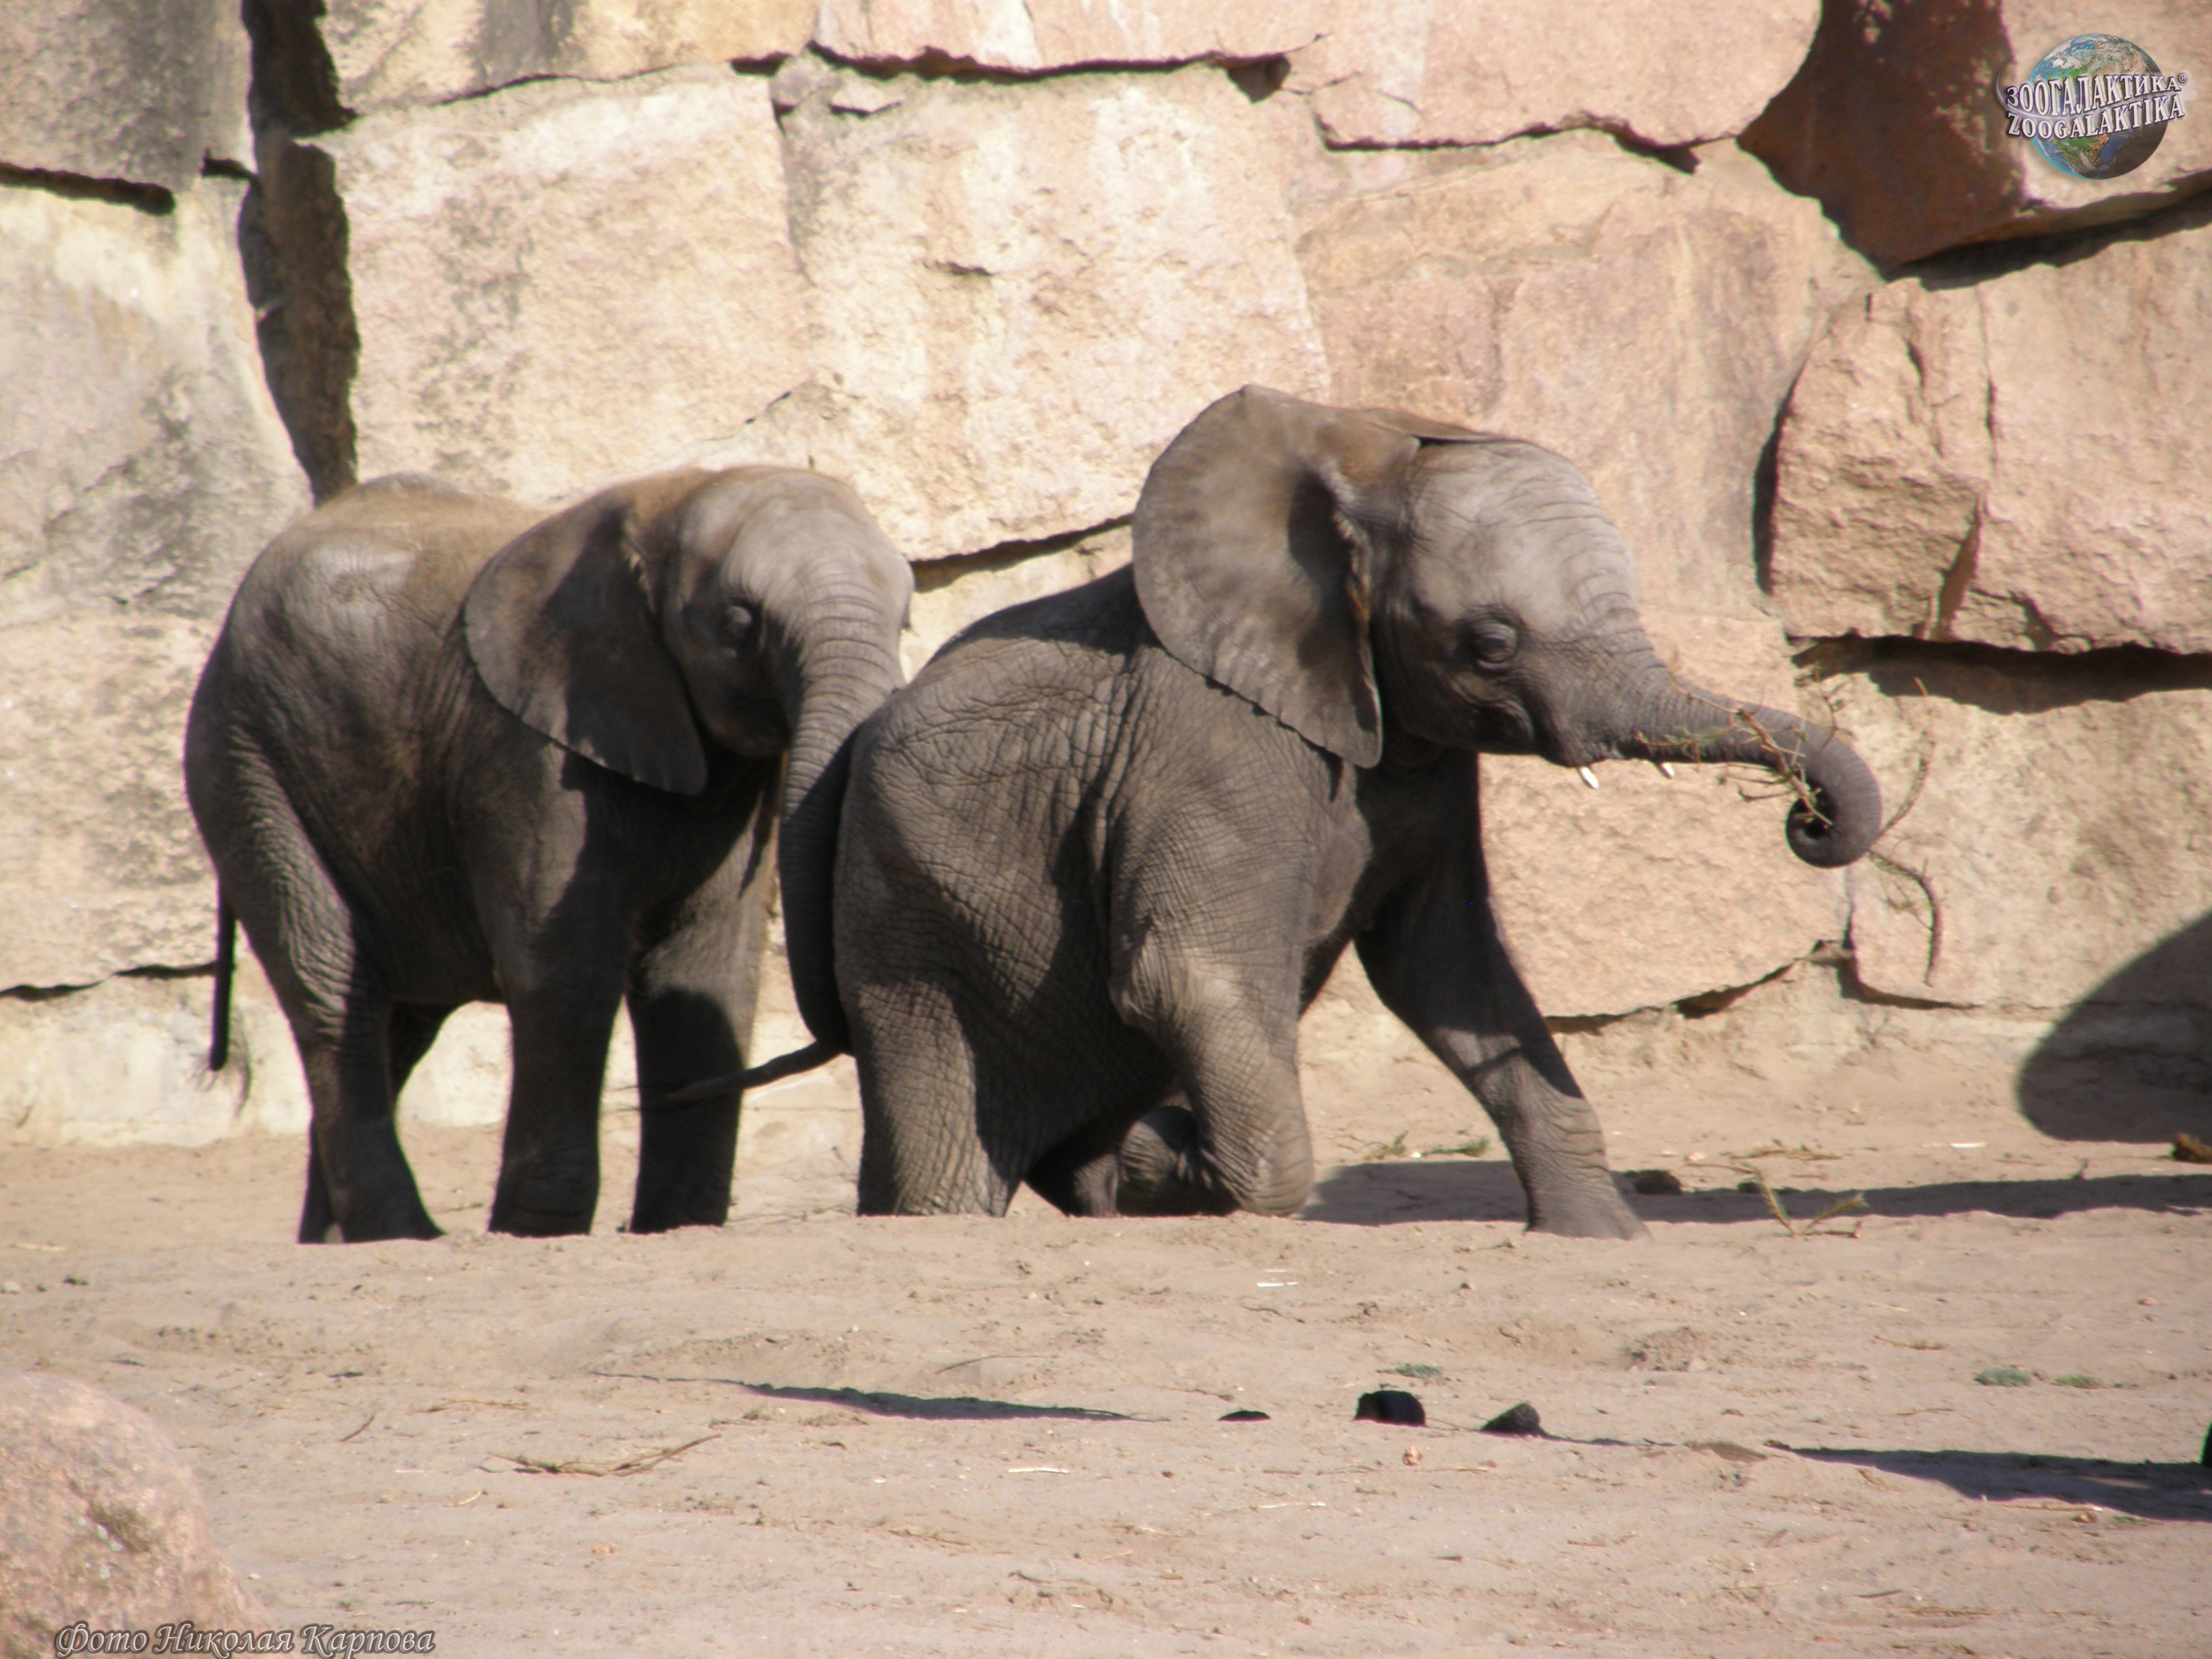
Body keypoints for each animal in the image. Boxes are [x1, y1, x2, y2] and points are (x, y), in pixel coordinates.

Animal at [184, 466, 912, 1243]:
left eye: (904, 620)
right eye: (742, 625)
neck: (669, 497)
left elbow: (705, 970)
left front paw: (674, 1228)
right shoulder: (529, 750)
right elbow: (566, 970)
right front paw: (536, 1232)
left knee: (397, 1023)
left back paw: (334, 1245)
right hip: (245, 763)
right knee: (334, 988)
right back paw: (408, 1235)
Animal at [823, 387, 1881, 1236]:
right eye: (1492, 644)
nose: (1810, 820)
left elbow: (1449, 972)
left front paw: (1600, 1238)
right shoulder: (1210, 740)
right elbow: (1189, 975)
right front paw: (1154, 1160)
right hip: (911, 926)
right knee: (947, 1137)